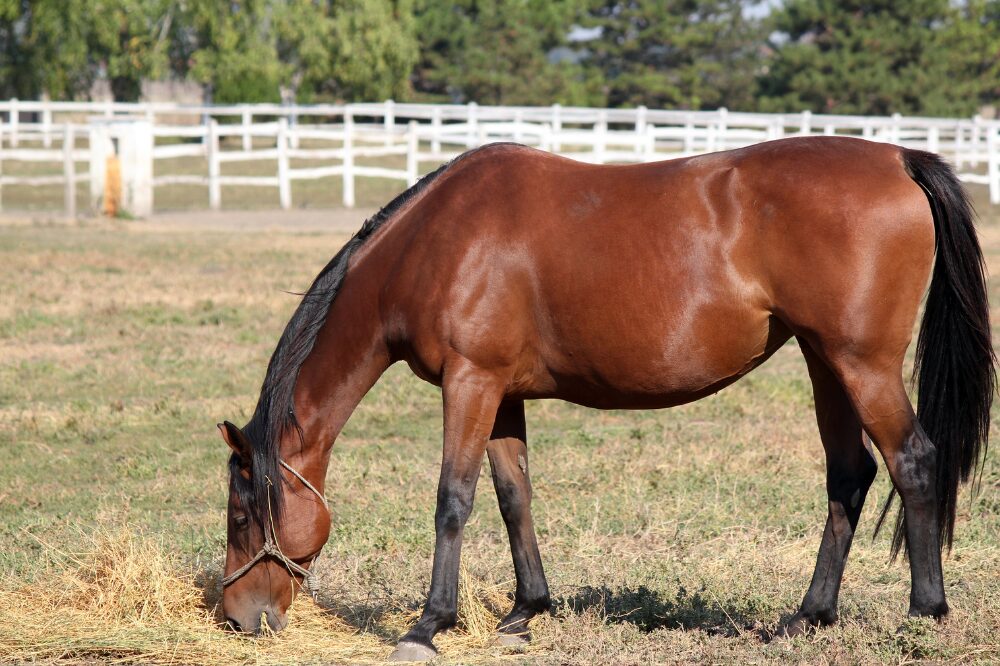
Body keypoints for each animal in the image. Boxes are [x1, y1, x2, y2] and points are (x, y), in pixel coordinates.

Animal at [216, 136, 994, 660]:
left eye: (240, 516)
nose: (236, 618)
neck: (435, 242)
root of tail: (897, 159)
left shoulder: (471, 382)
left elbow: (453, 500)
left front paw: (429, 625)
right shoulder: (500, 393)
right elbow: (513, 496)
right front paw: (526, 611)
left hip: (861, 364)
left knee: (913, 461)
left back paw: (925, 611)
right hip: (823, 360)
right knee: (849, 475)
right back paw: (807, 617)